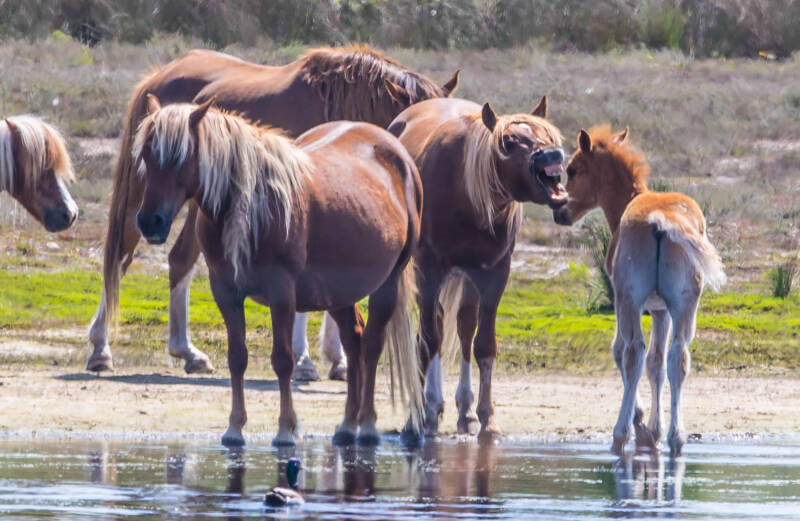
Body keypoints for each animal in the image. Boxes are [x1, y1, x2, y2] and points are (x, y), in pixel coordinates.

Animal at [89, 45, 459, 376]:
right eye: (409, 124)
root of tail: (158, 77)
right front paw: (305, 360)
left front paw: (335, 358)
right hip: (144, 198)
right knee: (120, 257)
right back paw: (101, 348)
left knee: (180, 258)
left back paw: (187, 352)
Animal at [133, 95, 424, 447]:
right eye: (146, 154)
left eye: (181, 157)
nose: (150, 222)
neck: (247, 207)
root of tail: (397, 153)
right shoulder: (225, 291)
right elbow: (237, 357)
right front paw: (234, 429)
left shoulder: (281, 292)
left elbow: (283, 360)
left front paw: (286, 429)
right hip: (338, 292)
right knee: (354, 341)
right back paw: (346, 425)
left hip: (387, 284)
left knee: (371, 345)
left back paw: (366, 425)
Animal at [386, 96, 568, 444]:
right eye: (509, 141)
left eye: (548, 135)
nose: (552, 155)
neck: (466, 194)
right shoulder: (429, 270)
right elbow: (430, 340)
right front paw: (427, 413)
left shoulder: (493, 274)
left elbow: (483, 344)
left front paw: (486, 418)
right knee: (431, 331)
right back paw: (427, 407)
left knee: (461, 327)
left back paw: (464, 411)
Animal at [553, 125, 726, 456]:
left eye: (573, 169)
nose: (560, 212)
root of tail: (660, 222)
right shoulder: (661, 311)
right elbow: (657, 362)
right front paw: (655, 431)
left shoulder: (627, 302)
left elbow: (621, 352)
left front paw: (642, 422)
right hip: (685, 307)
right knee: (677, 357)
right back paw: (676, 436)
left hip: (629, 301)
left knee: (632, 352)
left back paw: (620, 434)